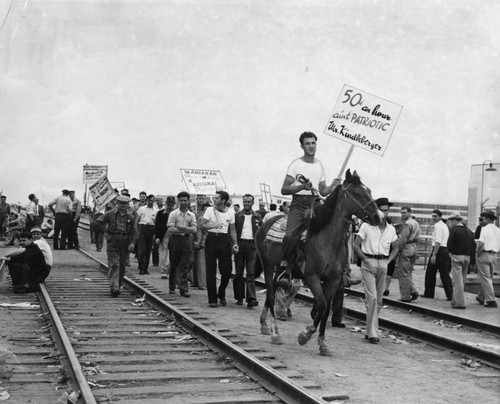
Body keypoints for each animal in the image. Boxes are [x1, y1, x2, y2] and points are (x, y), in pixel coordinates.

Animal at [256, 169, 380, 356]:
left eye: (370, 191)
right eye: (357, 193)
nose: (378, 217)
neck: (327, 240)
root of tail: (265, 223)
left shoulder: (333, 280)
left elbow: (326, 310)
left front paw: (322, 344)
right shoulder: (312, 277)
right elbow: (321, 305)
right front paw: (305, 335)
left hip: (278, 269)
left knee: (276, 287)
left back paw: (264, 324)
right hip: (268, 266)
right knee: (270, 294)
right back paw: (275, 333)